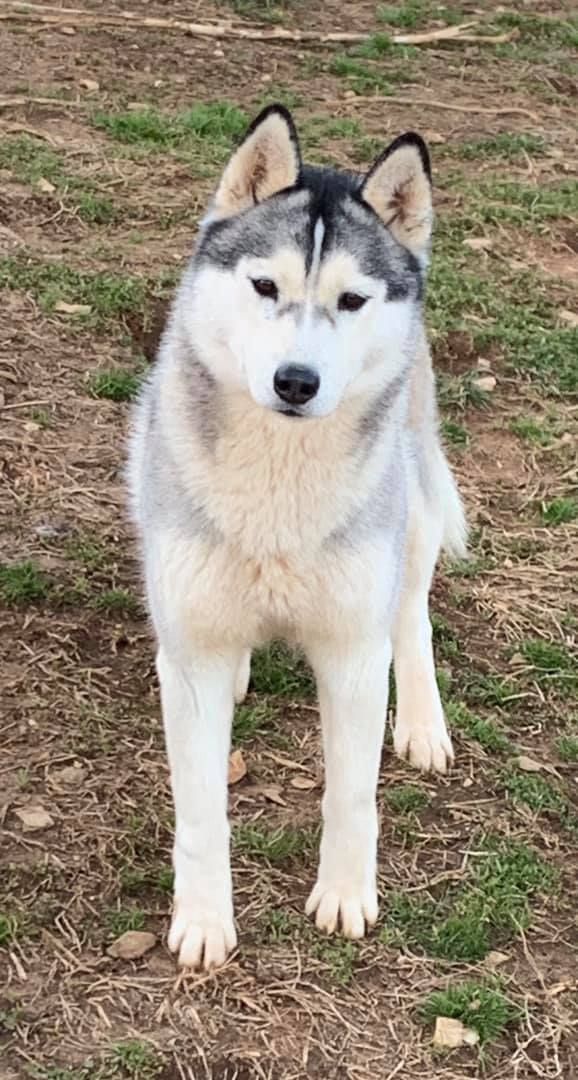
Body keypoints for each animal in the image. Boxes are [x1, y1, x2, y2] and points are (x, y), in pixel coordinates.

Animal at [128, 104, 467, 971]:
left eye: (351, 300)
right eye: (264, 286)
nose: (296, 381)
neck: (277, 493)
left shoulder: (351, 654)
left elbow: (351, 792)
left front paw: (345, 895)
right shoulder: (191, 658)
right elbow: (201, 809)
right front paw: (204, 920)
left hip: (413, 507)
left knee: (411, 613)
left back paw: (422, 722)